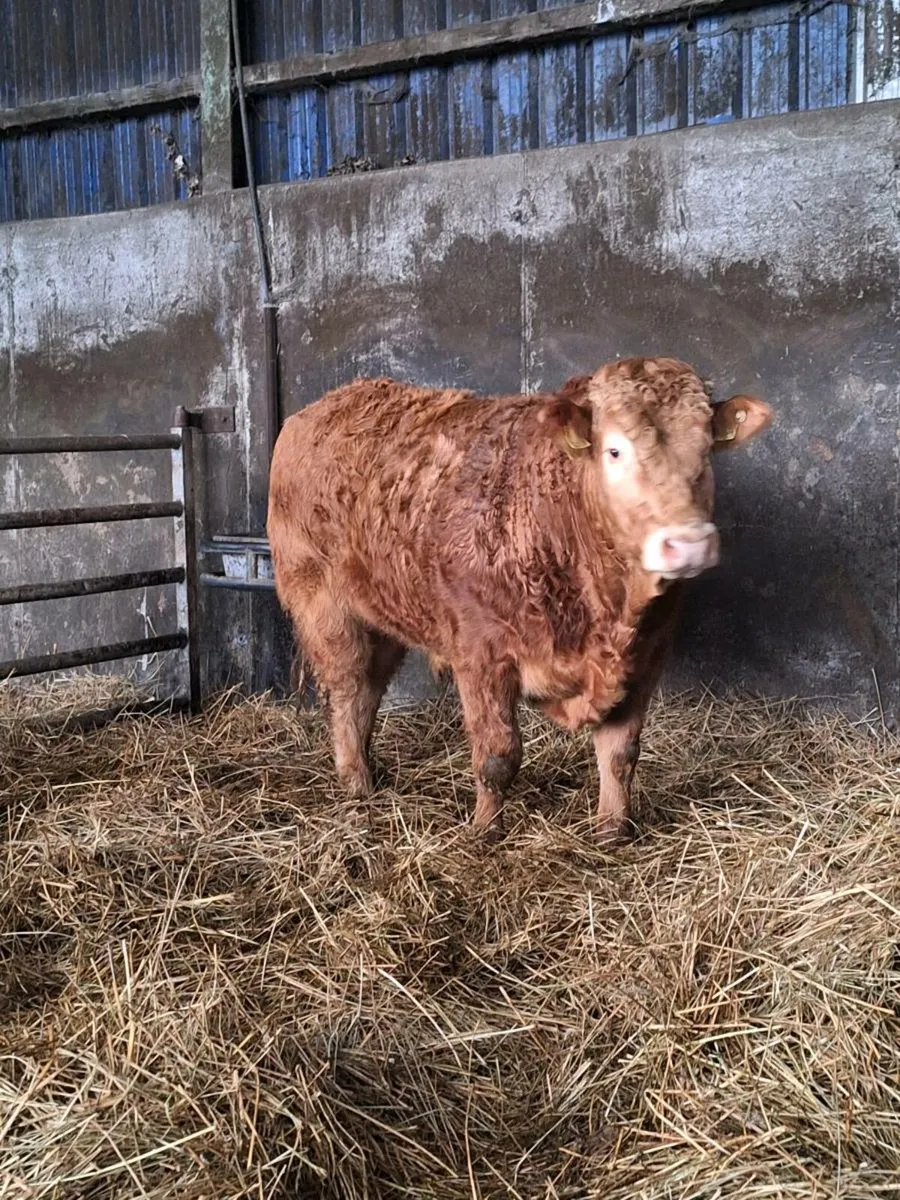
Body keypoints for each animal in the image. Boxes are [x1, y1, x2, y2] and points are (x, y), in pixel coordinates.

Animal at [267, 356, 771, 839]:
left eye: (706, 449)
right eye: (615, 450)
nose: (688, 544)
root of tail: (323, 407)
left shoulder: (647, 656)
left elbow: (620, 753)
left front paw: (613, 830)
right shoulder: (481, 654)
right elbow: (498, 756)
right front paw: (485, 832)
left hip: (385, 613)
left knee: (370, 690)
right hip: (323, 604)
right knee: (348, 691)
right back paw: (357, 784)